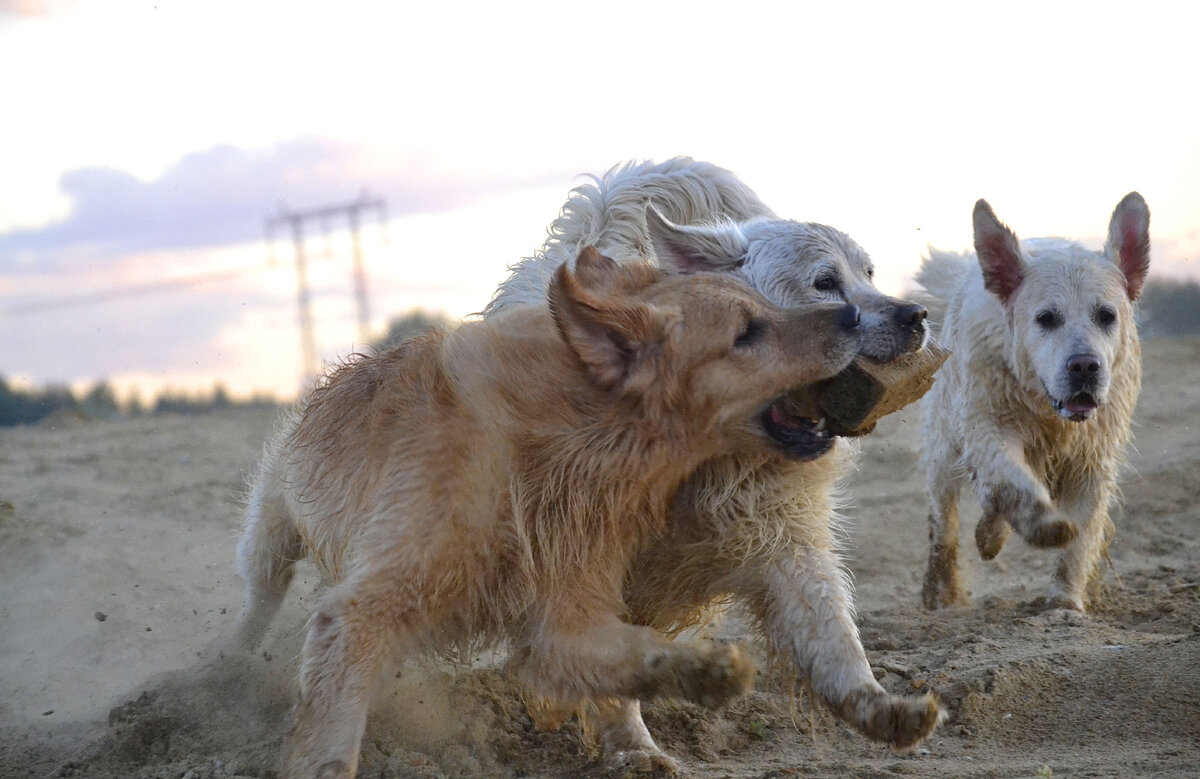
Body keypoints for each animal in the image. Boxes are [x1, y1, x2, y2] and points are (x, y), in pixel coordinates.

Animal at [229, 246, 864, 772]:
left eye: (767, 306)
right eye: (746, 332)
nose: (854, 316)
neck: (564, 436)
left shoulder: (567, 612)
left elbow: (633, 652)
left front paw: (705, 675)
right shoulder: (364, 608)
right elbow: (331, 738)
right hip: (271, 532)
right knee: (258, 603)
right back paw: (223, 670)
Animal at [482, 154, 940, 768]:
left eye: (869, 273)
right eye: (824, 282)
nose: (916, 315)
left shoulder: (780, 535)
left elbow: (833, 636)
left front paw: (884, 708)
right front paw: (635, 751)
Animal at [921, 190, 1147, 609]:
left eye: (1106, 315)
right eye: (1046, 318)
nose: (1084, 366)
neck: (1050, 412)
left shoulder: (1094, 455)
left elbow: (1081, 537)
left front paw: (1065, 602)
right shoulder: (989, 425)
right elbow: (1012, 481)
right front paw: (1045, 525)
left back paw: (990, 536)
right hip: (943, 445)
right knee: (944, 521)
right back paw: (941, 591)